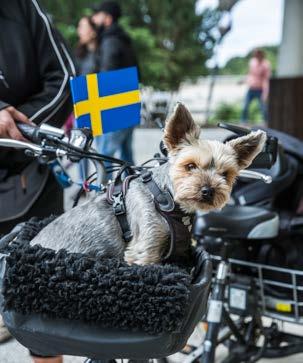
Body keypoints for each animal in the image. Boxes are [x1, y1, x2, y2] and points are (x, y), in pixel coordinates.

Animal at [30, 104, 266, 266]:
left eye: (225, 174)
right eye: (190, 166)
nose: (208, 191)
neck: (166, 197)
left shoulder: (179, 251)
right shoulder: (145, 250)